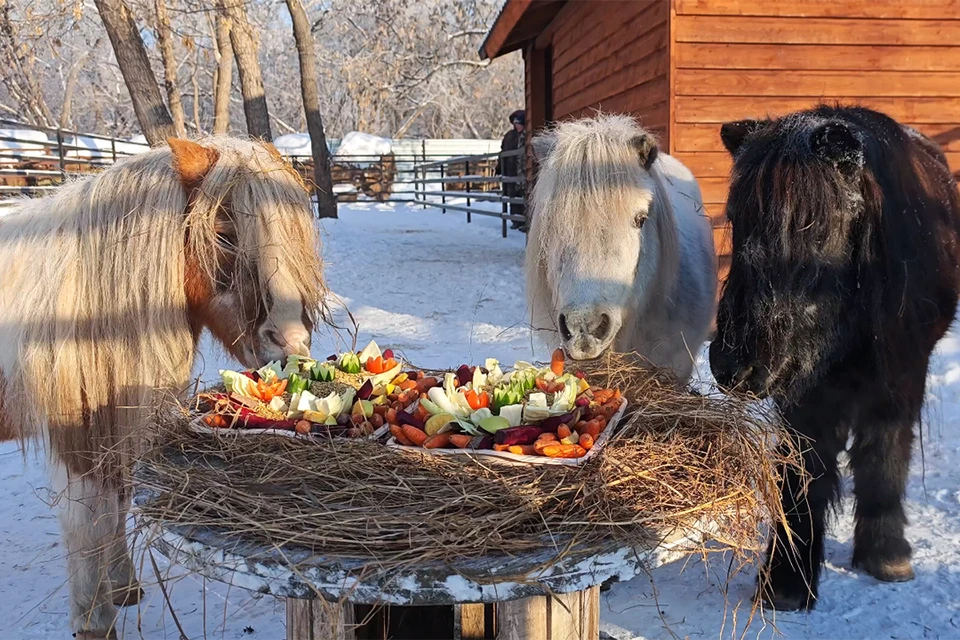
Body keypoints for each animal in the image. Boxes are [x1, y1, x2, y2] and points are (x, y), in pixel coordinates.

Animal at [0, 138, 326, 636]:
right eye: (224, 235)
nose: (291, 343)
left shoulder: (115, 424)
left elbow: (116, 500)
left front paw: (123, 587)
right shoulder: (76, 437)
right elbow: (85, 521)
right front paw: (95, 620)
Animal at [708, 105, 960, 608]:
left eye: (817, 227)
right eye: (738, 219)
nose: (733, 366)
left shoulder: (900, 379)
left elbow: (883, 455)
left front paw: (886, 554)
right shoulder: (804, 393)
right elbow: (804, 470)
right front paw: (786, 581)